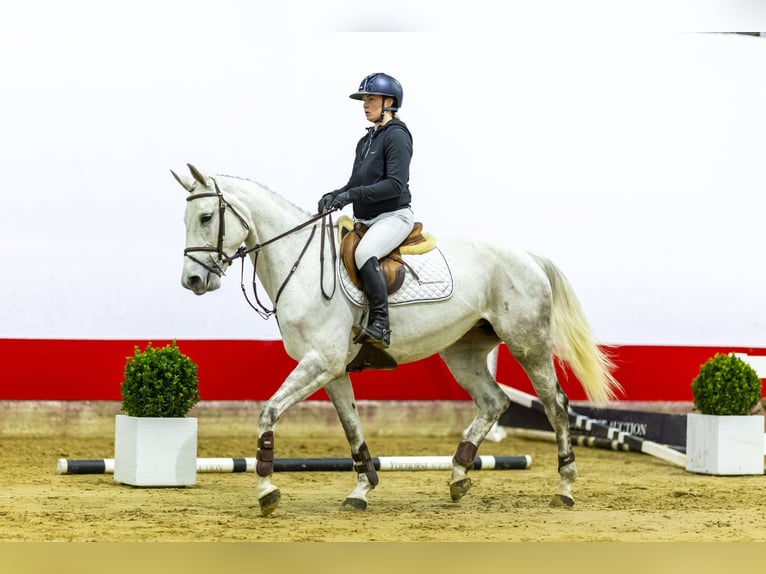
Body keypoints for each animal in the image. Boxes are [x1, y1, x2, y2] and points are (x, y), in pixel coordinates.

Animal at [174, 162, 624, 516]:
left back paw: (564, 487)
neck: (299, 265)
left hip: (528, 343)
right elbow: (352, 426)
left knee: (556, 404)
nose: (192, 280)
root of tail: (526, 255)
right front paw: (361, 490)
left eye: (207, 217)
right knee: (494, 401)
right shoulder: (331, 370)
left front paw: (267, 490)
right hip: (463, 352)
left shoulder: (320, 362)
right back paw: (458, 476)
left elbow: (268, 412)